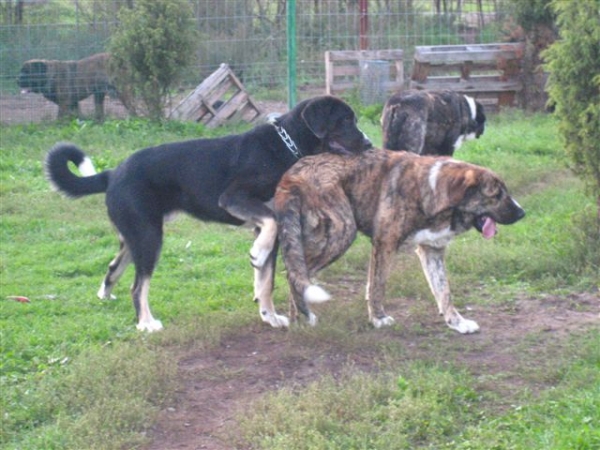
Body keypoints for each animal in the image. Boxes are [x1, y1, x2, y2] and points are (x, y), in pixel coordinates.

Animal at [45, 95, 370, 332]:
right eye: (345, 120)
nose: (368, 143)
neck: (284, 146)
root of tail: (113, 173)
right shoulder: (234, 198)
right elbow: (269, 229)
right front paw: (257, 254)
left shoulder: (263, 223)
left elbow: (266, 278)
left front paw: (268, 313)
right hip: (149, 238)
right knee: (138, 287)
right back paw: (146, 324)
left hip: (136, 236)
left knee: (114, 267)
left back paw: (106, 295)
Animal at [274, 149, 524, 334]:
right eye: (496, 195)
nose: (523, 213)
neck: (432, 191)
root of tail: (292, 175)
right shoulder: (385, 244)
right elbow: (378, 286)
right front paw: (378, 318)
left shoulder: (432, 250)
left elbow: (444, 291)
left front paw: (457, 322)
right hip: (340, 233)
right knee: (295, 275)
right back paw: (300, 318)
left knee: (295, 272)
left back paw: (296, 318)